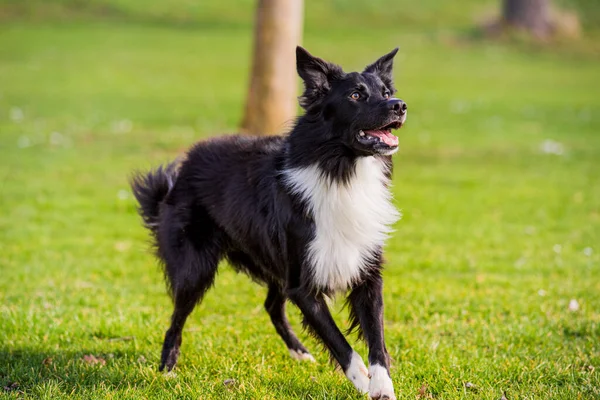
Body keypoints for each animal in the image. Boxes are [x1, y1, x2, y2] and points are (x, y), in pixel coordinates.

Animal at [131, 46, 408, 396]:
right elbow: (340, 343)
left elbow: (376, 337)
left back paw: (300, 352)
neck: (340, 169)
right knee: (177, 318)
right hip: (196, 268)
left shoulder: (365, 272)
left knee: (272, 306)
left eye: (386, 93)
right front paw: (360, 378)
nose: (399, 105)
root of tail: (180, 172)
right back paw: (167, 369)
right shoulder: (302, 284)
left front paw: (381, 385)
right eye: (356, 95)